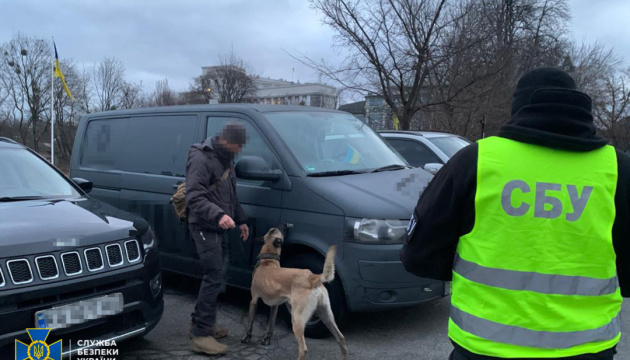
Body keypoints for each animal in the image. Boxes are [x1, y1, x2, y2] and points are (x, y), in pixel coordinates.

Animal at [243, 228, 350, 360]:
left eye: (271, 230)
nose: (280, 227)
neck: (268, 262)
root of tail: (311, 277)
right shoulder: (275, 306)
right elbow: (271, 326)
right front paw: (266, 339)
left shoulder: (254, 300)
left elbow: (250, 323)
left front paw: (247, 338)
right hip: (326, 315)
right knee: (341, 338)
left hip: (297, 319)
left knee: (303, 349)